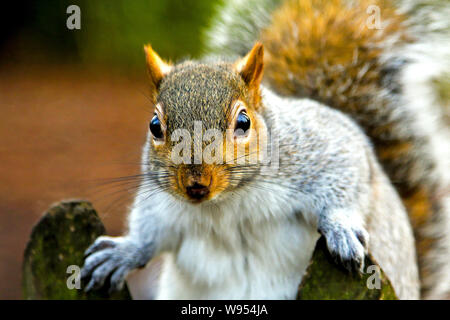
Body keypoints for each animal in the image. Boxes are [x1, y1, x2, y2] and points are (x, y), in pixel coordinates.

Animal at [81, 0, 450, 300]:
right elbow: (151, 231)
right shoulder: (163, 203)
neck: (227, 202)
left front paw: (341, 228)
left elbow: (344, 177)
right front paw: (123, 252)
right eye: (155, 126)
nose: (196, 184)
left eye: (244, 121)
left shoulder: (325, 146)